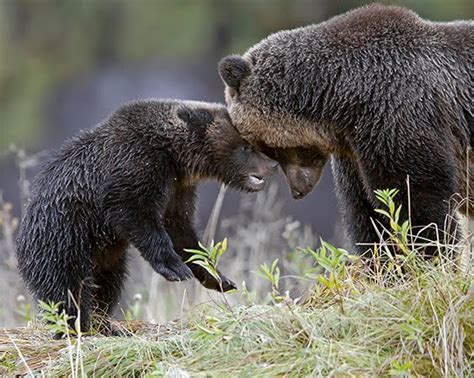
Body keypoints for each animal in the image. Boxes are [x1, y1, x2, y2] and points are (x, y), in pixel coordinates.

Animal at [15, 99, 278, 332]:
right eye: (245, 146)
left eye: (253, 143)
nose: (273, 164)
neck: (174, 156)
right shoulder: (134, 168)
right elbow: (137, 215)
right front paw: (175, 269)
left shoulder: (178, 189)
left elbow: (182, 231)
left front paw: (219, 278)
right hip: (62, 237)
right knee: (67, 287)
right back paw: (76, 325)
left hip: (104, 257)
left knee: (107, 284)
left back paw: (106, 325)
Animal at [220, 5, 472, 260]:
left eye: (270, 147)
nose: (297, 190)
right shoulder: (355, 151)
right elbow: (367, 214)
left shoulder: (399, 115)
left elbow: (417, 201)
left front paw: (430, 256)